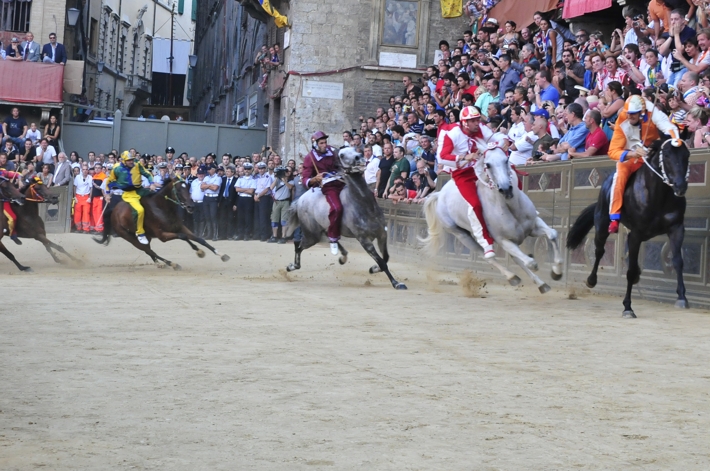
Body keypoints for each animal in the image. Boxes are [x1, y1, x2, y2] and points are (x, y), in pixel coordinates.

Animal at [94, 177, 231, 270]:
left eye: (188, 188)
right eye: (179, 190)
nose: (191, 207)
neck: (161, 208)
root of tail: (113, 210)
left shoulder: (179, 226)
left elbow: (198, 238)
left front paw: (220, 254)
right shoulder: (162, 235)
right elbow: (183, 236)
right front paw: (199, 251)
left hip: (147, 236)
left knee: (149, 250)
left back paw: (160, 263)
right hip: (128, 236)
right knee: (148, 250)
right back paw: (172, 263)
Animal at [282, 148, 406, 290]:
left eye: (354, 149)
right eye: (341, 155)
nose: (359, 157)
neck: (365, 206)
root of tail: (300, 200)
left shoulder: (382, 234)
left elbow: (385, 257)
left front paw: (373, 269)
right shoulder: (364, 240)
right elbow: (382, 262)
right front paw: (396, 283)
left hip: (323, 229)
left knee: (329, 236)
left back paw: (342, 256)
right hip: (312, 235)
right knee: (298, 246)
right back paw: (292, 266)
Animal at [422, 133, 568, 294]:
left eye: (506, 160)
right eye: (488, 165)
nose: (506, 189)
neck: (511, 208)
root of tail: (439, 194)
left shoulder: (533, 226)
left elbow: (552, 234)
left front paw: (556, 272)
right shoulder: (503, 239)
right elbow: (530, 262)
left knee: (516, 258)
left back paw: (541, 284)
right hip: (461, 234)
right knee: (488, 256)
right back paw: (512, 277)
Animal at [572, 138, 692, 318]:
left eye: (687, 154)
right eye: (667, 155)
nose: (680, 186)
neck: (657, 196)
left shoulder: (676, 228)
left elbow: (678, 261)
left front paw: (682, 298)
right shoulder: (635, 234)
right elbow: (630, 271)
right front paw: (628, 307)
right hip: (602, 225)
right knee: (599, 250)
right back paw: (591, 280)